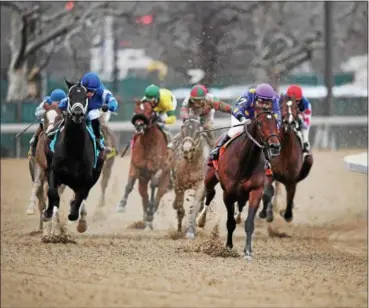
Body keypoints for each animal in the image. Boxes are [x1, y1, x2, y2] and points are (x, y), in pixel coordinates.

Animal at [25, 103, 65, 231]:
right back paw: (42, 226)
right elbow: (36, 185)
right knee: (41, 199)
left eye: (59, 117)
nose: (50, 132)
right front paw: (30, 209)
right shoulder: (39, 166)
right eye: (45, 117)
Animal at [115, 100, 170, 230]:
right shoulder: (135, 166)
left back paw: (150, 215)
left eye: (149, 111)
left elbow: (154, 185)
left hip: (165, 180)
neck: (147, 144)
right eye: (136, 110)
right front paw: (121, 205)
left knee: (158, 196)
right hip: (143, 180)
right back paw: (145, 220)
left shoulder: (158, 169)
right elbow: (129, 185)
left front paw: (150, 213)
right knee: (144, 195)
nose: (139, 125)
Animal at [198, 110, 278, 260]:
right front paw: (228, 247)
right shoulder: (227, 194)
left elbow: (249, 223)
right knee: (210, 194)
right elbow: (230, 223)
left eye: (276, 123)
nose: (275, 146)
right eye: (260, 123)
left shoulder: (255, 190)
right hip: (210, 177)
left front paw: (248, 251)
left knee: (240, 204)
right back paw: (201, 219)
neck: (245, 160)